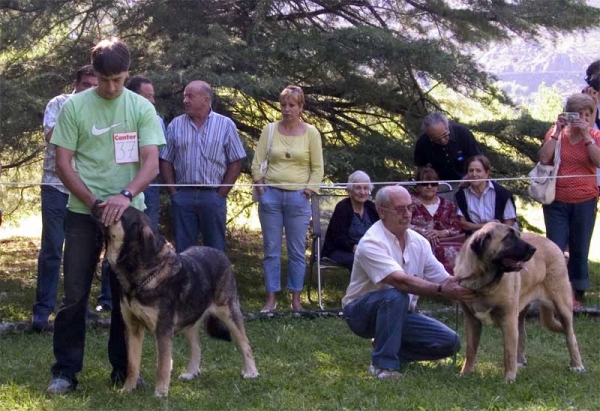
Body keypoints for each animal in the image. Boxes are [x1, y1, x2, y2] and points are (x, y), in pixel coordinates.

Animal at [91, 204, 258, 398]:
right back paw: (191, 372)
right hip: (189, 320)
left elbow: (162, 364)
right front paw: (127, 389)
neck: (142, 273)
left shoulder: (163, 329)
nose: (96, 203)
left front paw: (160, 393)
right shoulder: (133, 327)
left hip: (229, 312)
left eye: (119, 212)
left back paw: (251, 372)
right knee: (197, 347)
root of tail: (220, 253)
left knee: (245, 343)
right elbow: (132, 364)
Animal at [452, 222, 584, 384]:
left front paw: (509, 379)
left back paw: (577, 365)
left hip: (562, 306)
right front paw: (466, 373)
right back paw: (520, 362)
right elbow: (470, 349)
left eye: (518, 235)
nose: (534, 249)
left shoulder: (508, 319)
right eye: (509, 237)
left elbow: (508, 352)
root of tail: (553, 244)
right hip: (520, 313)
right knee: (522, 334)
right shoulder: (472, 320)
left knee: (570, 336)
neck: (484, 283)